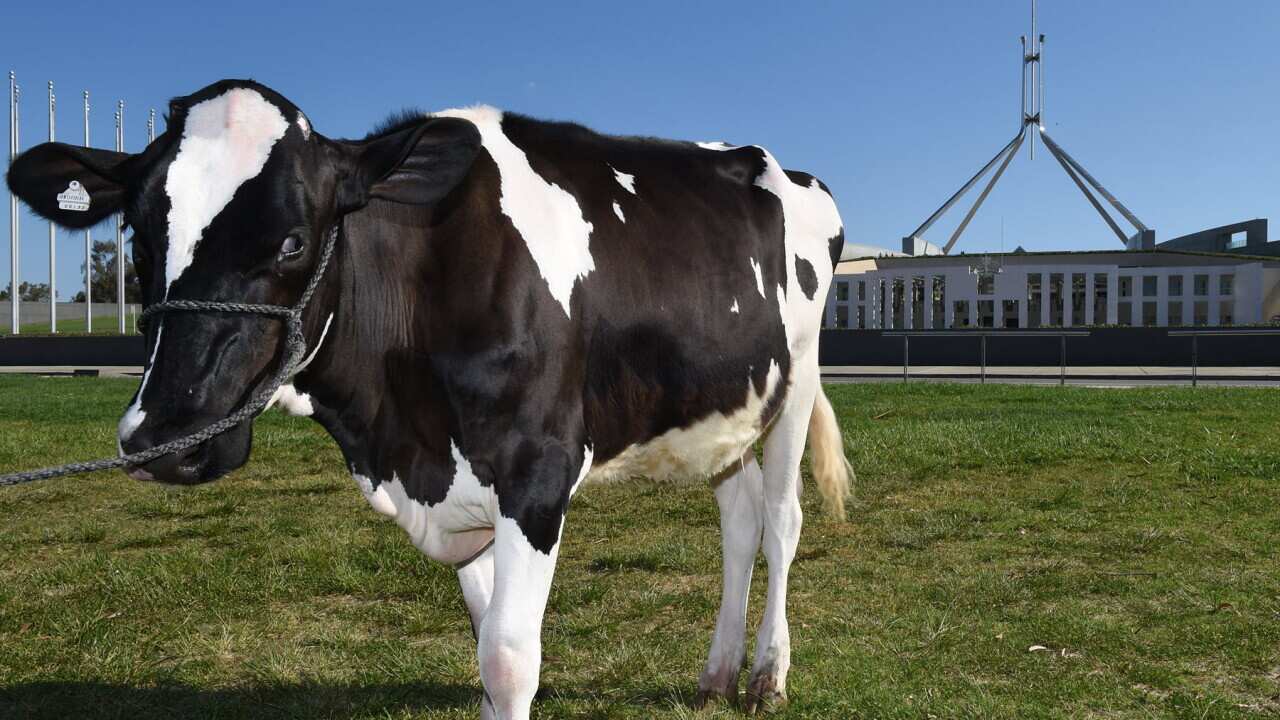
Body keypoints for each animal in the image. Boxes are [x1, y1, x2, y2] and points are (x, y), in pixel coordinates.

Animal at [6, 79, 851, 719]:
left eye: (294, 240)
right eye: (139, 237)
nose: (166, 436)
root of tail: (781, 168)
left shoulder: (536, 471)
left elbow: (509, 659)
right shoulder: (458, 485)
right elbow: (484, 654)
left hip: (797, 385)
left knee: (781, 522)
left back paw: (767, 676)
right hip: (721, 409)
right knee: (738, 522)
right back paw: (715, 674)